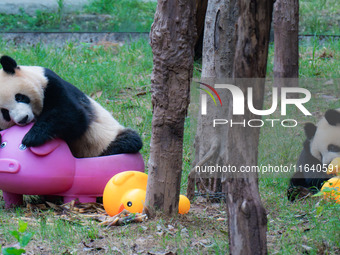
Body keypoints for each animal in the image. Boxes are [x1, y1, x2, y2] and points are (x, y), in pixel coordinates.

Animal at [0, 56, 142, 157]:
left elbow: (72, 116)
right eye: (5, 112)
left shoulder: (51, 83)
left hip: (107, 138)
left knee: (129, 141)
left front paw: (31, 137)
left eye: (20, 97)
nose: (23, 119)